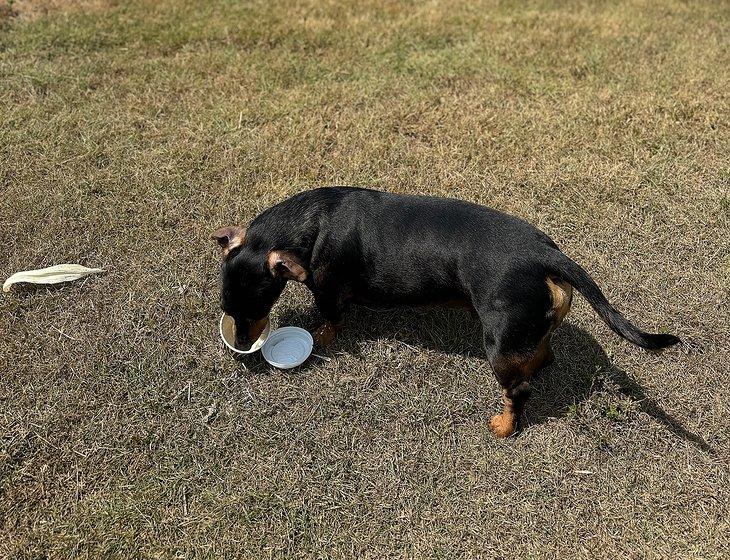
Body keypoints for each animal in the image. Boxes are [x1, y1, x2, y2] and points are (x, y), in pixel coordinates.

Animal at [210, 187, 676, 438]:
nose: (241, 345)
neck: (312, 222)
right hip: (524, 334)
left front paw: (324, 336)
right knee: (541, 356)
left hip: (499, 345)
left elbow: (332, 319)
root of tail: (545, 254)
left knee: (519, 391)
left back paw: (504, 425)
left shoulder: (327, 291)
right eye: (227, 308)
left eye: (253, 307)